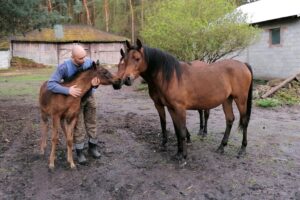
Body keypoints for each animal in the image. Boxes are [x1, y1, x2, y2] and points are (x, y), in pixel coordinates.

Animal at [118, 39, 252, 161]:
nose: (126, 79)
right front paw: (178, 152)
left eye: (137, 58)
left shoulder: (180, 109)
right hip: (227, 100)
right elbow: (177, 130)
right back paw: (221, 147)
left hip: (241, 99)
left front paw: (184, 156)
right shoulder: (171, 108)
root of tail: (243, 65)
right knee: (229, 120)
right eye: (125, 60)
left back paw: (242, 149)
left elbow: (181, 131)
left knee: (244, 121)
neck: (171, 77)